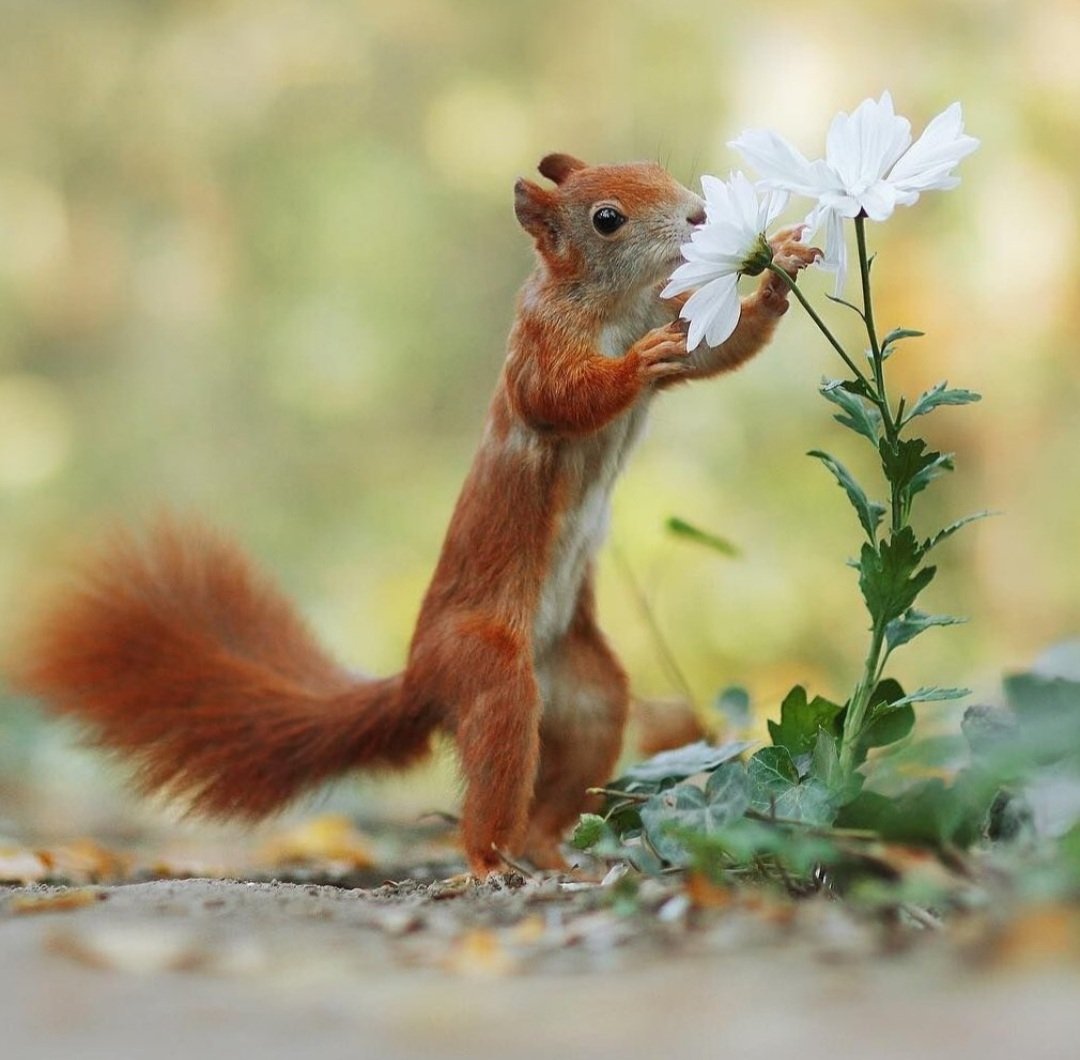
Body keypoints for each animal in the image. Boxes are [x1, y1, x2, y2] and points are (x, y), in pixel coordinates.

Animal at [14, 153, 817, 876]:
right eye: (607, 219)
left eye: (657, 167)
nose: (701, 216)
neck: (616, 305)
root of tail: (420, 680)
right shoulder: (538, 350)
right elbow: (558, 398)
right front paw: (634, 365)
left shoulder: (670, 319)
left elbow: (718, 352)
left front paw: (781, 266)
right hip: (488, 669)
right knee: (496, 768)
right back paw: (489, 861)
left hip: (586, 693)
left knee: (572, 757)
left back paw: (551, 852)